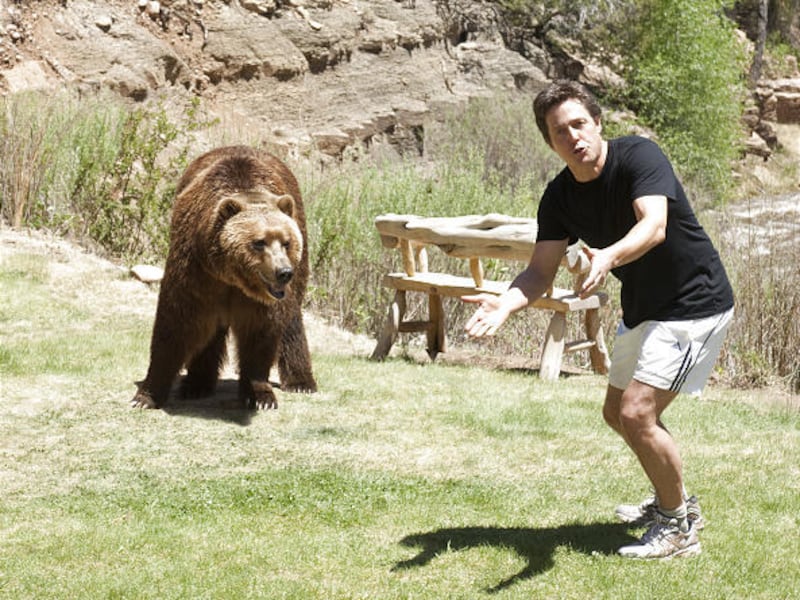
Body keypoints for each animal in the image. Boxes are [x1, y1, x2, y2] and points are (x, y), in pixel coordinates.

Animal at [131, 145, 317, 410]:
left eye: (286, 242)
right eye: (259, 242)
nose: (283, 272)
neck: (232, 278)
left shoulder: (263, 301)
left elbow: (261, 334)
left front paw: (260, 396)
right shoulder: (195, 271)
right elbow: (175, 324)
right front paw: (146, 396)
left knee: (291, 321)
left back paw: (301, 382)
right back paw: (196, 384)